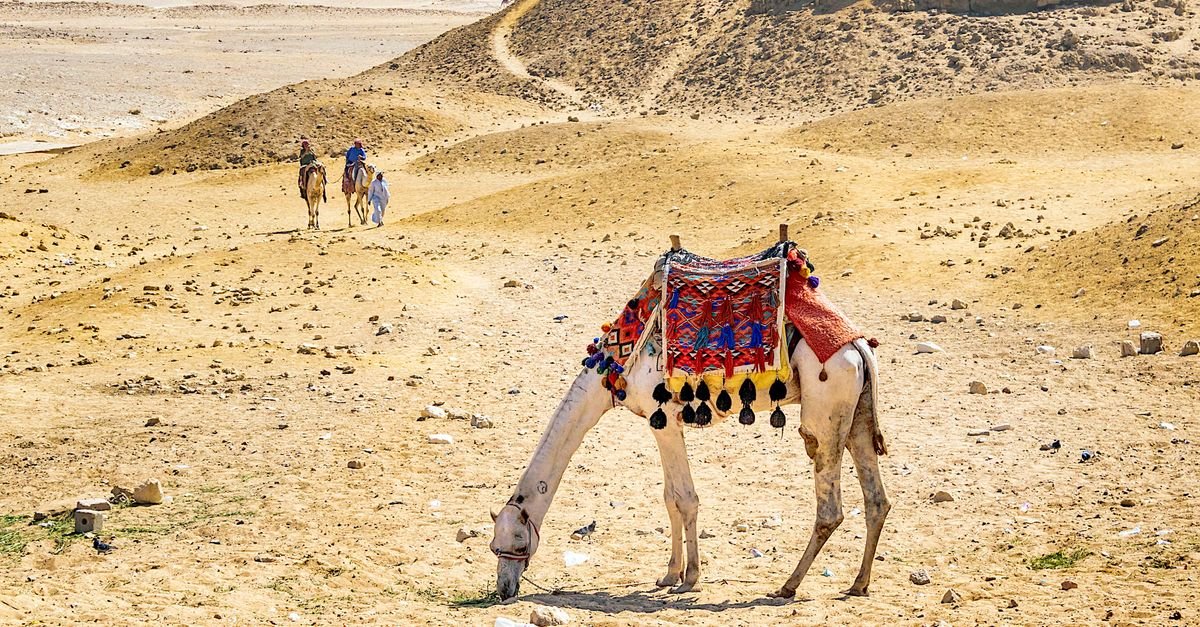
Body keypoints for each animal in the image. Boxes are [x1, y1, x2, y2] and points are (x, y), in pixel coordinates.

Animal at [490, 232, 890, 602]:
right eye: (494, 545)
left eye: (517, 542)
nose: (504, 589)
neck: (613, 367)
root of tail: (859, 346)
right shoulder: (666, 424)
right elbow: (670, 498)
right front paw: (670, 575)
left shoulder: (663, 419)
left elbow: (685, 499)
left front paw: (689, 578)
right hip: (857, 413)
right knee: (876, 499)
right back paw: (859, 584)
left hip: (824, 410)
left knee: (830, 507)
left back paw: (788, 586)